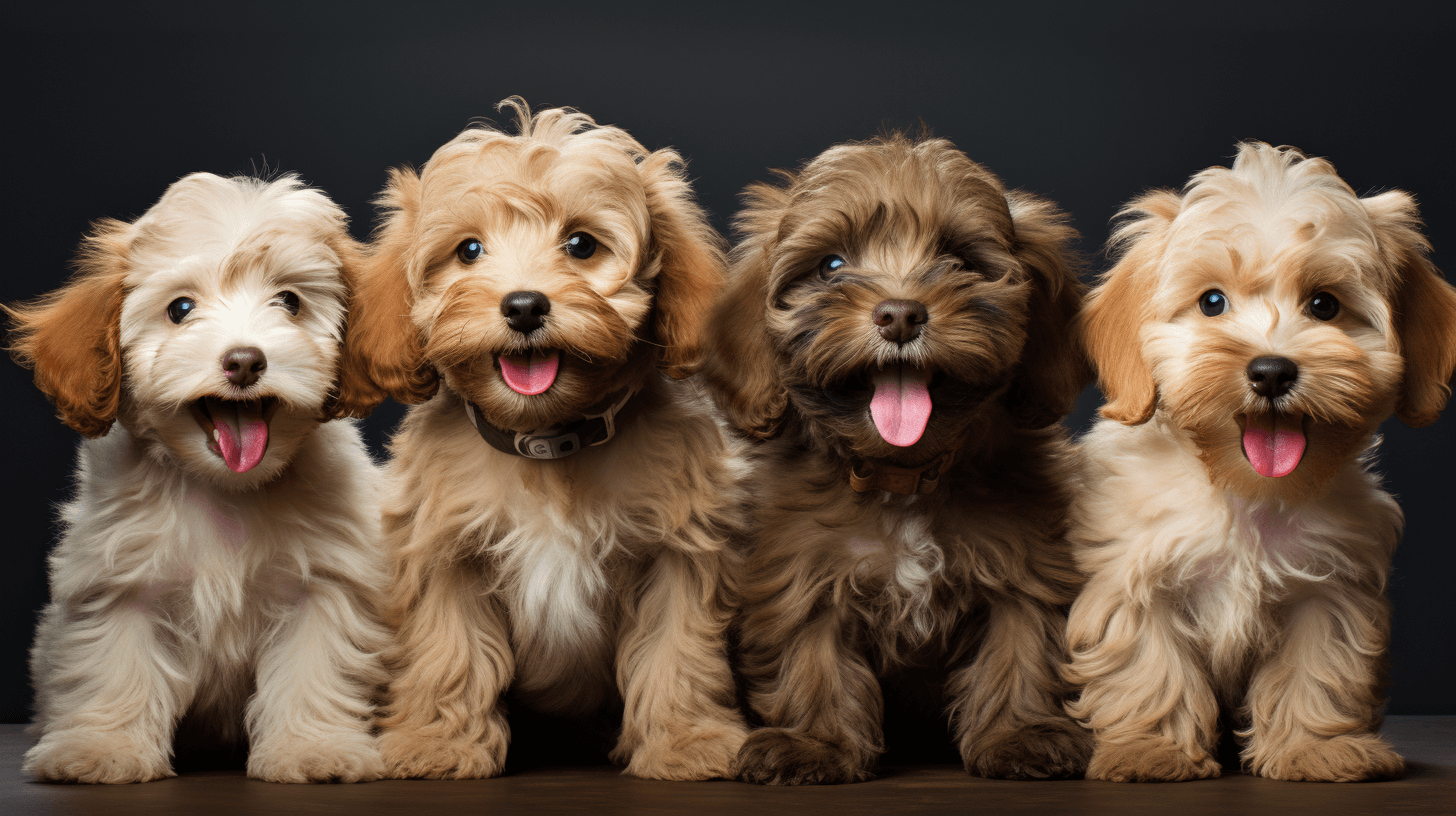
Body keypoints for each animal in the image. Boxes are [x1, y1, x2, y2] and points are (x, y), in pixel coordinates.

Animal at [337, 99, 751, 781]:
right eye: (469, 250)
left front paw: (687, 743)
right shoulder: (446, 548)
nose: (525, 305)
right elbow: (450, 651)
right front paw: (438, 745)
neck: (547, 442)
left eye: (581, 244)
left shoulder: (677, 548)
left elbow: (677, 652)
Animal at [704, 134, 1094, 786]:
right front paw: (815, 745)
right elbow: (812, 656)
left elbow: (1021, 647)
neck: (903, 477)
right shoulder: (801, 570)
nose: (900, 314)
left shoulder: (1024, 563)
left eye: (960, 259)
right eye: (831, 266)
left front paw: (1021, 735)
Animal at [1059, 142, 1456, 786]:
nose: (1271, 371)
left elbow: (1319, 667)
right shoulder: (1134, 575)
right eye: (1211, 302)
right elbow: (1150, 665)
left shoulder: (1329, 586)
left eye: (1325, 304)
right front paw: (1151, 752)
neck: (1244, 490)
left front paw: (1317, 750)